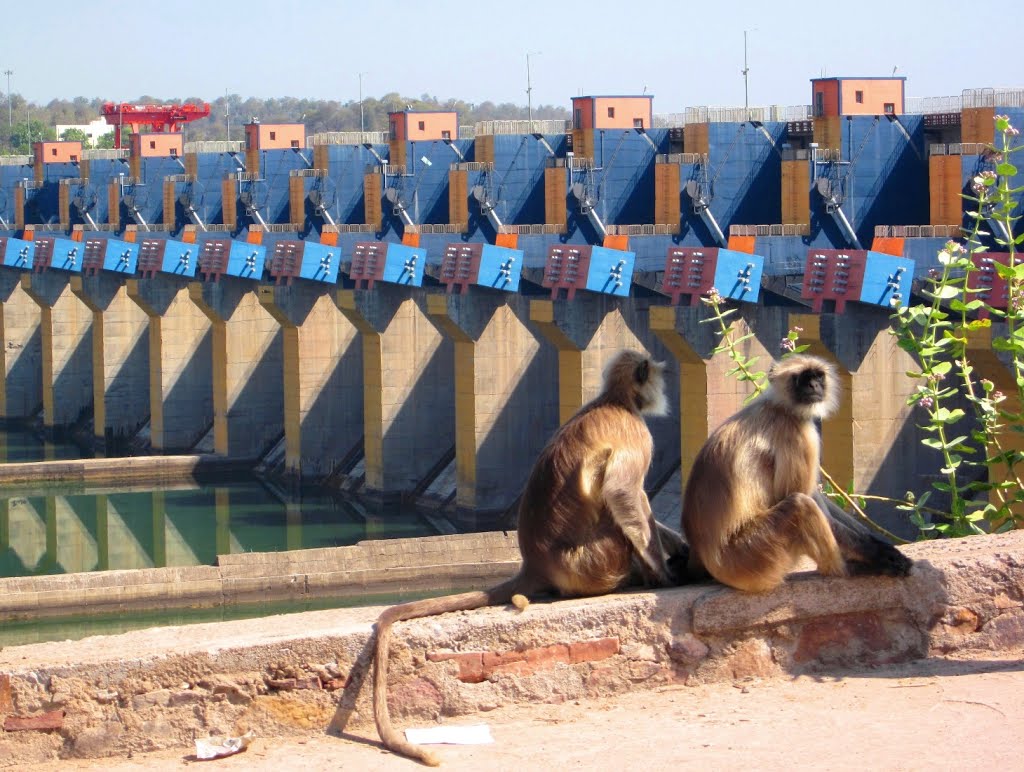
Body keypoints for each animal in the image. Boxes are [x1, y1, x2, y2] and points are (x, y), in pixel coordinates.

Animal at [372, 350, 684, 765]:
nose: (665, 383)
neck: (616, 401)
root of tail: (533, 564)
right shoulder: (636, 432)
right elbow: (623, 494)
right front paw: (664, 575)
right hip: (595, 562)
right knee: (619, 515)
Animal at [679, 352, 913, 593]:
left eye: (818, 376)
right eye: (802, 378)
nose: (813, 385)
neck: (780, 406)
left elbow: (816, 497)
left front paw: (879, 544)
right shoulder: (796, 431)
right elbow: (798, 494)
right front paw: (877, 554)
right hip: (749, 557)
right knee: (799, 505)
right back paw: (843, 569)